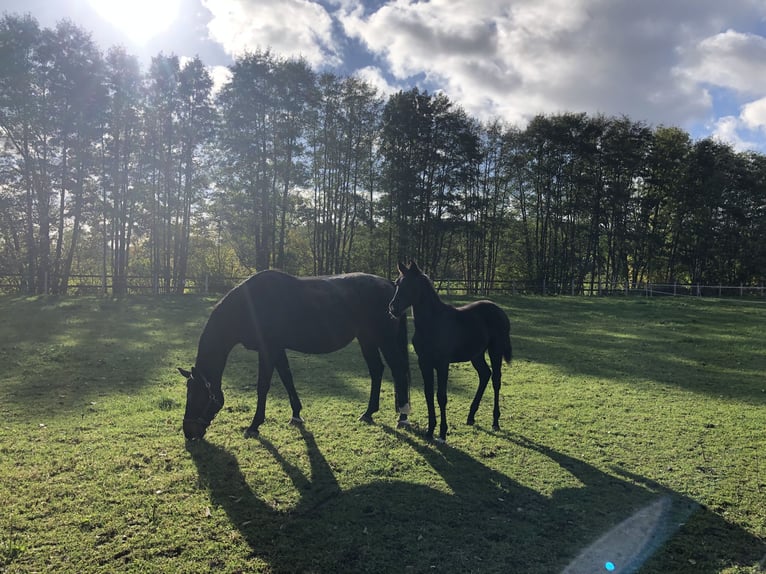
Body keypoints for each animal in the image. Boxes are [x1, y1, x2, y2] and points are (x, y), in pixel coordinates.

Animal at [178, 270, 414, 440]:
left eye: (197, 395)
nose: (189, 433)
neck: (249, 306)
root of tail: (389, 286)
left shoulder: (267, 349)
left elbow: (263, 386)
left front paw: (254, 425)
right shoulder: (277, 349)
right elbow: (287, 378)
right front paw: (296, 415)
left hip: (384, 340)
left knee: (398, 370)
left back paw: (402, 417)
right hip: (367, 339)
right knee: (377, 370)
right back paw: (368, 412)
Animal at [392, 264, 512, 444]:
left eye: (410, 285)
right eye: (397, 283)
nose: (392, 308)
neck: (432, 323)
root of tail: (499, 311)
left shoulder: (442, 363)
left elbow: (441, 396)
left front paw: (442, 433)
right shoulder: (424, 362)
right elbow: (428, 394)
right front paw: (430, 431)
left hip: (495, 350)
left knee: (496, 380)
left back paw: (495, 421)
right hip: (476, 354)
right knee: (485, 374)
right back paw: (471, 416)